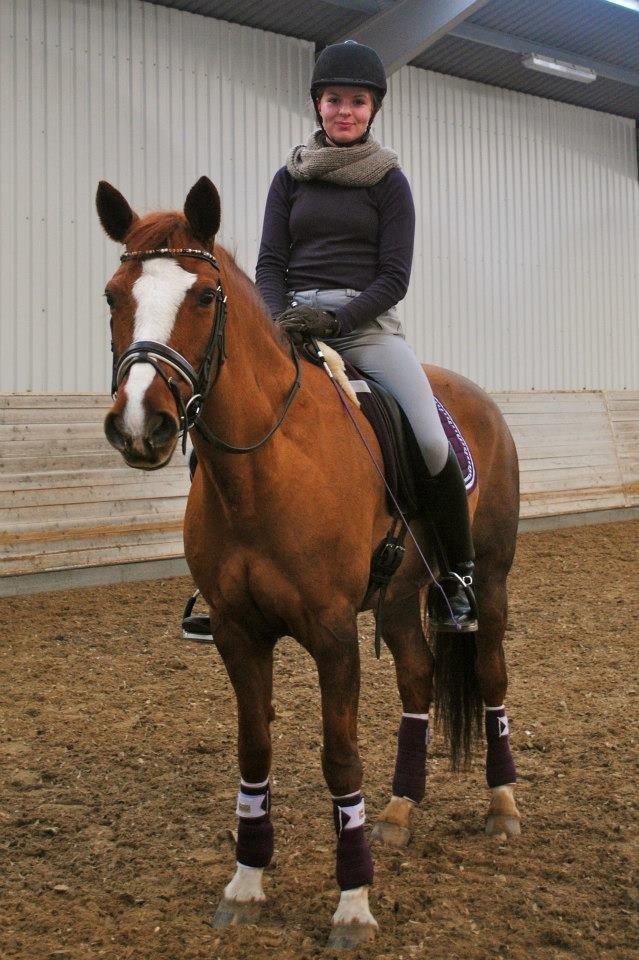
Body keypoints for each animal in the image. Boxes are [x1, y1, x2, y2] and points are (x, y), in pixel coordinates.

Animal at [96, 175, 521, 948]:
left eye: (204, 297)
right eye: (114, 296)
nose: (141, 424)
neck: (263, 468)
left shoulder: (331, 632)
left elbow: (338, 756)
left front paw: (352, 903)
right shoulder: (237, 634)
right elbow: (254, 751)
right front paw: (245, 883)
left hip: (492, 581)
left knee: (491, 674)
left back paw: (502, 804)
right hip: (397, 597)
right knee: (417, 682)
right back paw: (398, 813)